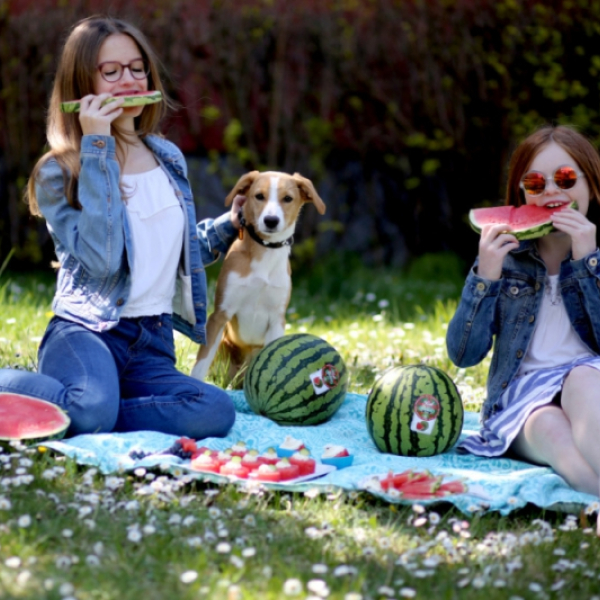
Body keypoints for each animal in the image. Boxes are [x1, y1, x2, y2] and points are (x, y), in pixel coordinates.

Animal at [191, 171, 324, 386]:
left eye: (288, 198)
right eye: (259, 196)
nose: (271, 220)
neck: (265, 252)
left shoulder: (277, 319)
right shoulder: (220, 314)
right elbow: (201, 362)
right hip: (223, 347)